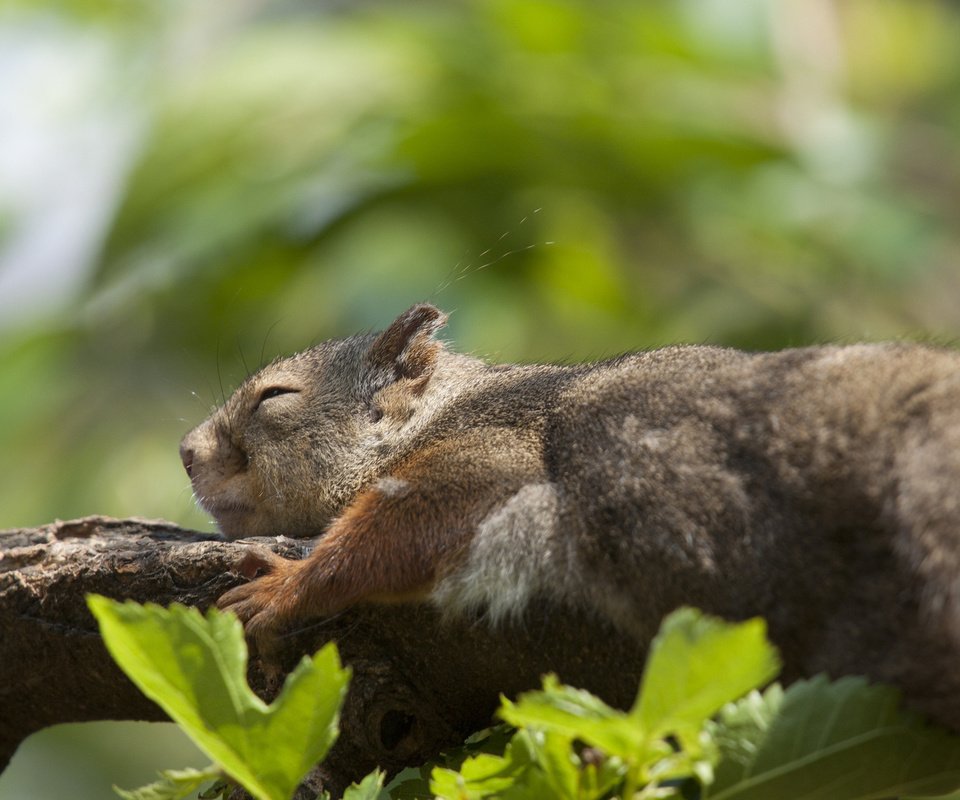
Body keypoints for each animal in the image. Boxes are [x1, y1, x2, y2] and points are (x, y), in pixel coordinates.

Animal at [182, 304, 960, 728]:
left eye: (276, 397)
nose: (186, 452)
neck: (442, 412)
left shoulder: (494, 452)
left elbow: (418, 521)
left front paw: (287, 586)